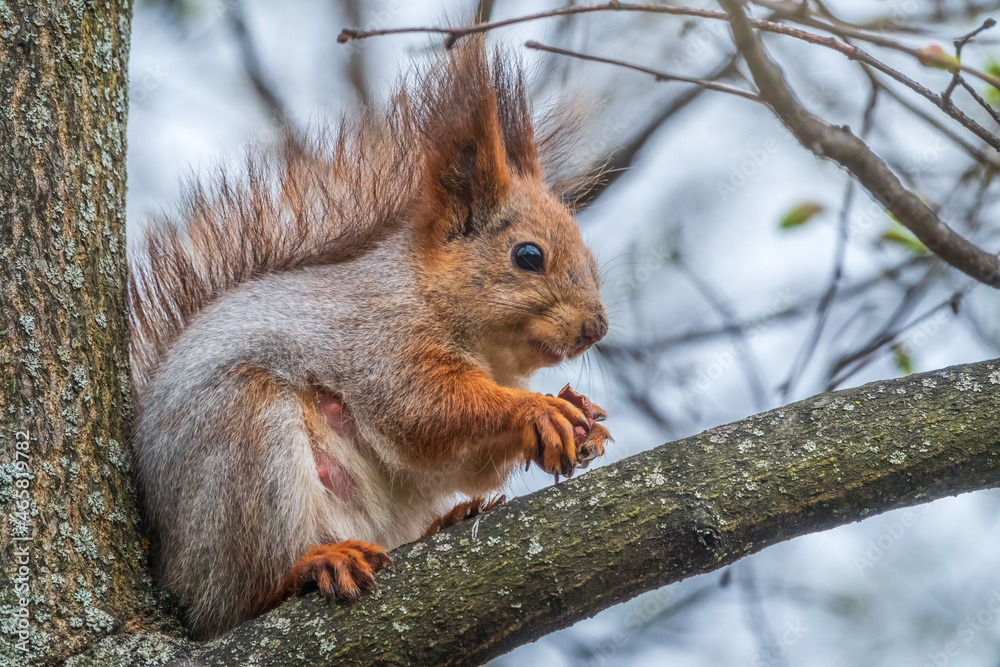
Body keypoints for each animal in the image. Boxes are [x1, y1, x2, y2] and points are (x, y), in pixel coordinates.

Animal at [128, 39, 611, 640]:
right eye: (528, 255)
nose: (597, 328)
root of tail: (173, 573)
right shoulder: (380, 343)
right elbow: (425, 410)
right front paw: (539, 410)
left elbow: (465, 462)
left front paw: (579, 412)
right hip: (241, 442)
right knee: (242, 599)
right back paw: (313, 565)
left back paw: (453, 517)